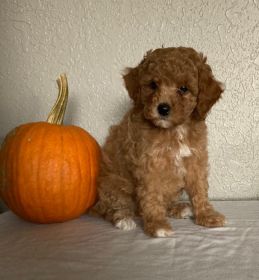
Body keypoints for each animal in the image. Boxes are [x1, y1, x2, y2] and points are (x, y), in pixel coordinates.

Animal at [92, 46, 226, 236]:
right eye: (153, 85)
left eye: (183, 89)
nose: (163, 108)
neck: (174, 130)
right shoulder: (149, 165)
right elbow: (152, 196)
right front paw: (157, 225)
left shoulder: (195, 160)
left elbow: (200, 189)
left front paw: (207, 215)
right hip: (114, 186)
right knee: (113, 207)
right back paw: (124, 219)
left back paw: (178, 209)